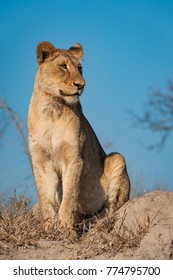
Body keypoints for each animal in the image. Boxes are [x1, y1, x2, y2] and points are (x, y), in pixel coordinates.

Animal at [26, 41, 130, 233]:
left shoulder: (74, 159)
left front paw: (67, 228)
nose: (81, 85)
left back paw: (89, 223)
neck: (52, 108)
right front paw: (49, 228)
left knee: (111, 210)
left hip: (117, 158)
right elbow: (46, 199)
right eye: (63, 66)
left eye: (80, 68)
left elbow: (69, 198)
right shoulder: (41, 161)